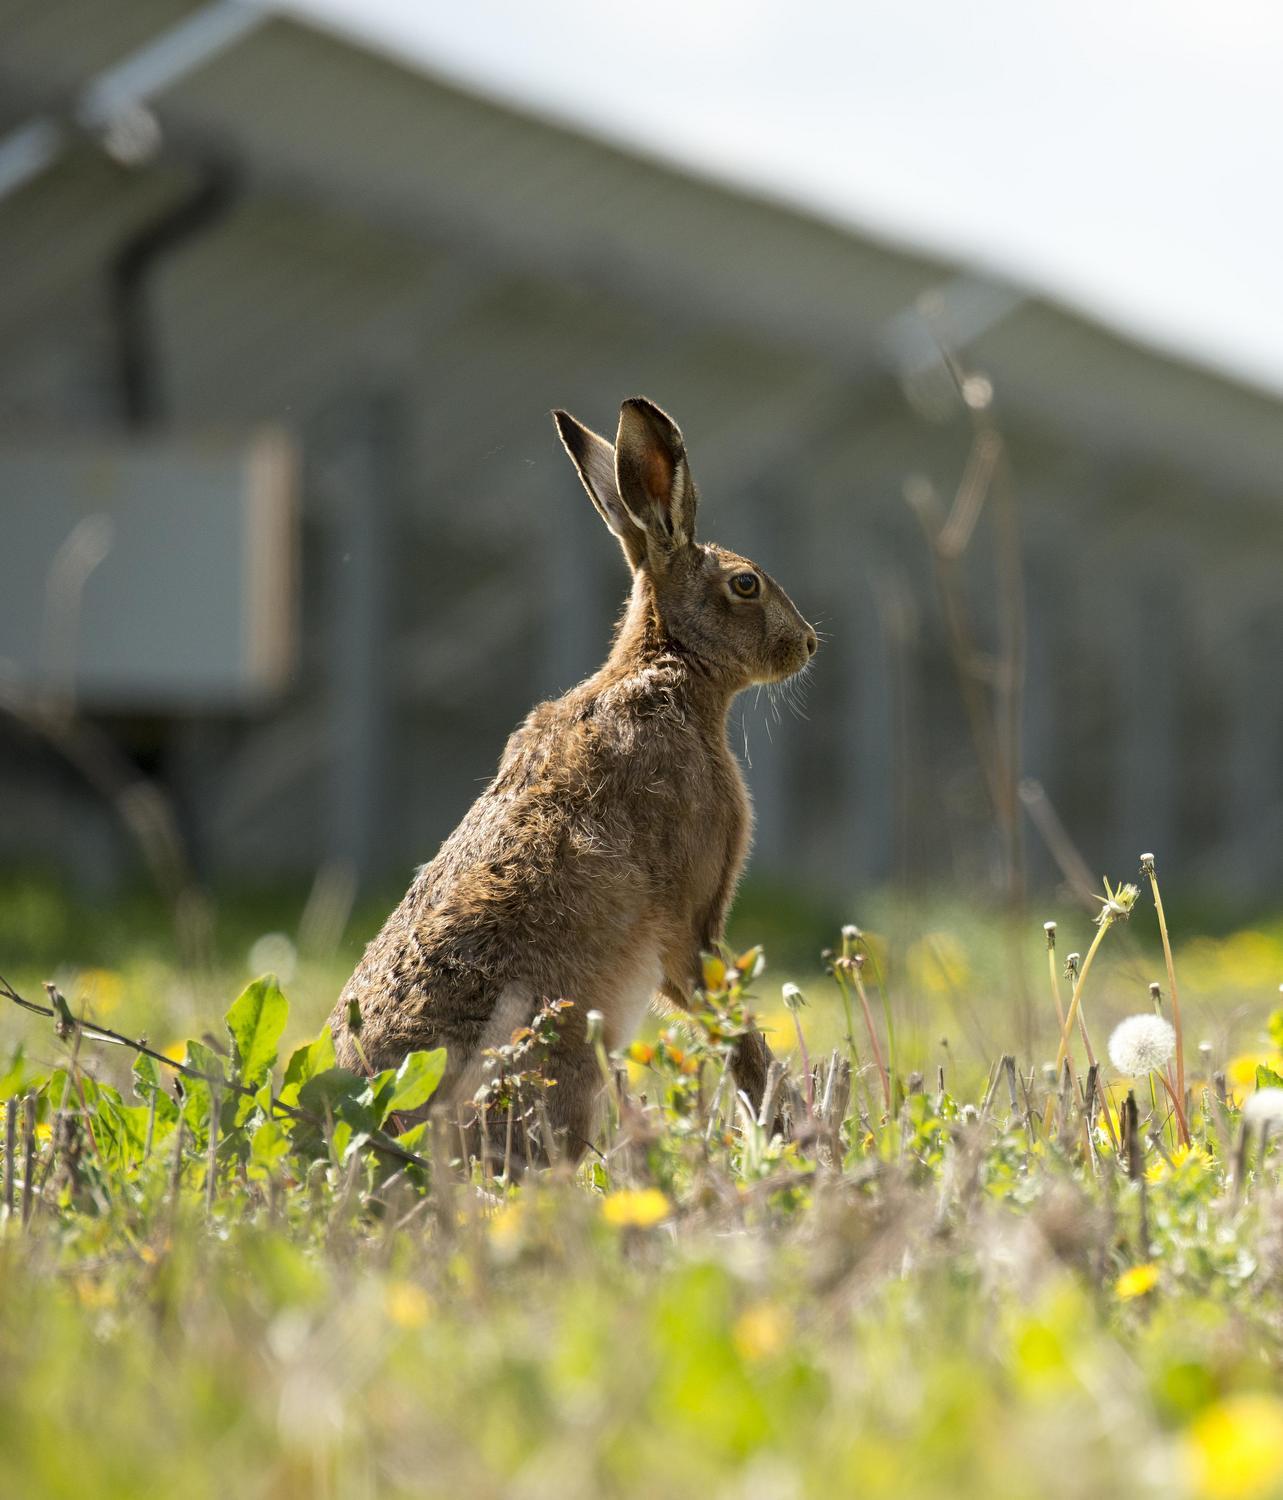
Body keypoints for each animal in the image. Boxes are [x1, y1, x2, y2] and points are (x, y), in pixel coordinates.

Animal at [328, 396, 817, 1162]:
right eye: (746, 584)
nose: (808, 645)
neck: (670, 664)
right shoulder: (693, 921)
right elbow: (723, 1018)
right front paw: (781, 1126)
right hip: (559, 1055)